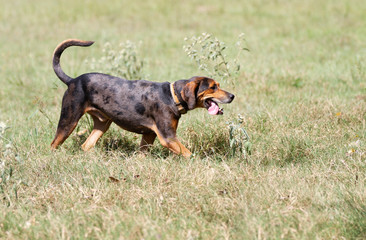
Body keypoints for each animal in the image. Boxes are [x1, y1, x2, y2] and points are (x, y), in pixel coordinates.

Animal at [50, 39, 234, 158]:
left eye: (218, 85)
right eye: (213, 87)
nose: (232, 96)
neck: (172, 96)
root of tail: (72, 80)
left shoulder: (148, 135)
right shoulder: (168, 138)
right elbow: (190, 155)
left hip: (103, 123)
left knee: (86, 145)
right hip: (68, 120)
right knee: (53, 144)